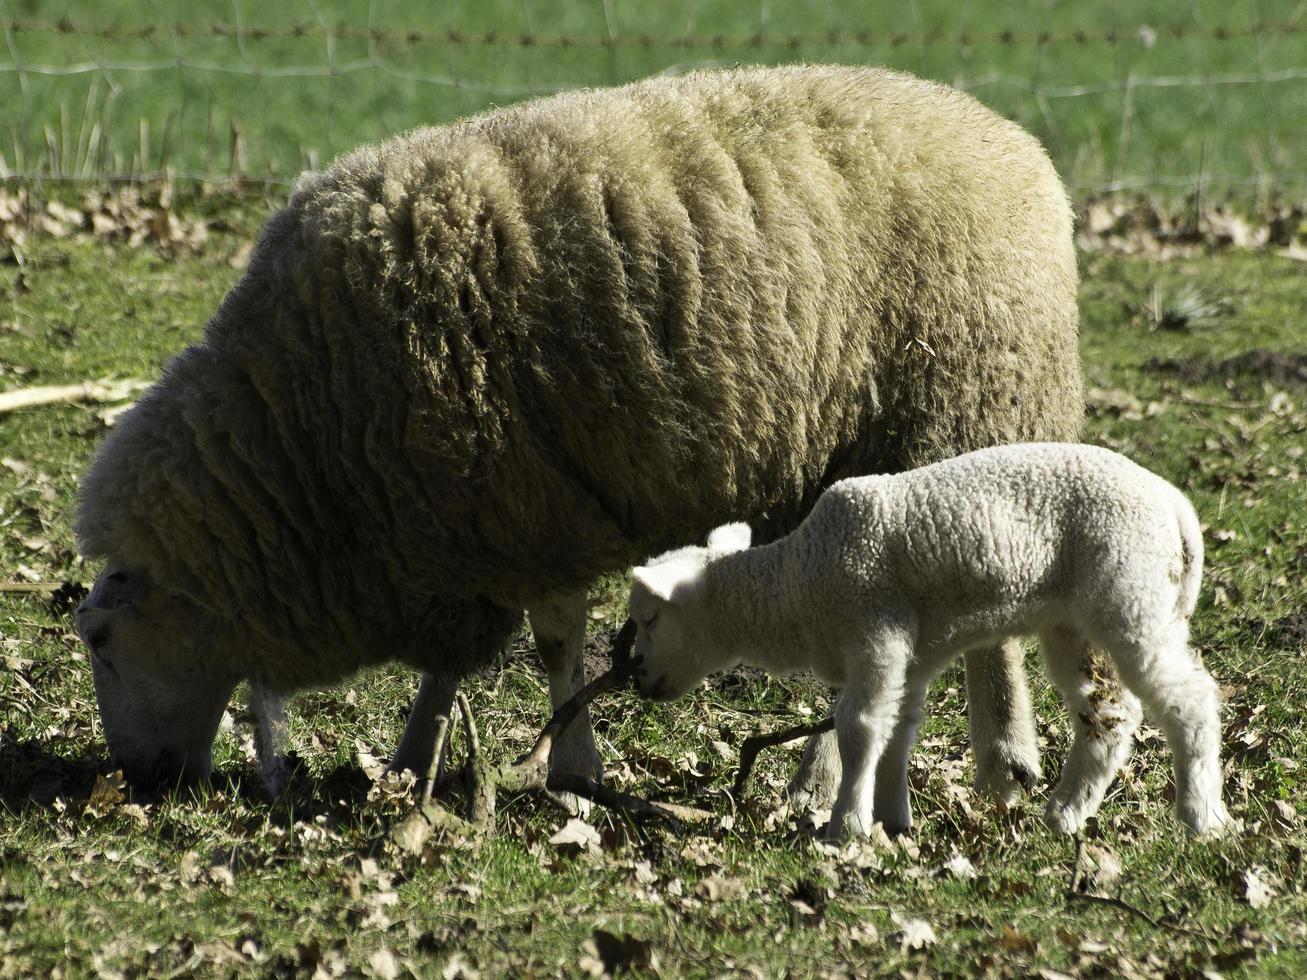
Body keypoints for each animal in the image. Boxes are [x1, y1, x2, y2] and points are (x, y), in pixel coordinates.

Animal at [71, 67, 1082, 804]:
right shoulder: (462, 537)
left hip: (960, 414)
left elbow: (555, 644)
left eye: (102, 641)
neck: (306, 441)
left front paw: (572, 768)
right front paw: (412, 758)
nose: (135, 781)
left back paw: (893, 774)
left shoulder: (530, 511)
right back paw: (982, 768)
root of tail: (1023, 152)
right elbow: (452, 665)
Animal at [627, 446, 1228, 846]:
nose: (637, 677)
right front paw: (892, 820)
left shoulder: (875, 628)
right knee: (1107, 711)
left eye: (650, 619)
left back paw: (1202, 817)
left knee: (1190, 699)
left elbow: (859, 727)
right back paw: (1065, 816)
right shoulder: (910, 652)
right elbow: (898, 728)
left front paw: (846, 828)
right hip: (1078, 618)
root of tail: (1177, 507)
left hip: (1131, 591)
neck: (799, 583)